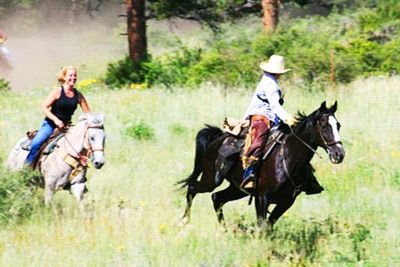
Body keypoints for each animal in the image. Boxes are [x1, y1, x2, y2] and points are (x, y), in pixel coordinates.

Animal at [178, 101, 344, 229]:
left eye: (338, 126)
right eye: (324, 126)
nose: (339, 154)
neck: (287, 158)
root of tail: (217, 138)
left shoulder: (286, 201)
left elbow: (268, 225)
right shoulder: (262, 197)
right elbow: (262, 225)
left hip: (238, 189)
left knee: (217, 198)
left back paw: (224, 229)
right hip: (211, 179)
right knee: (193, 188)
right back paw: (184, 221)